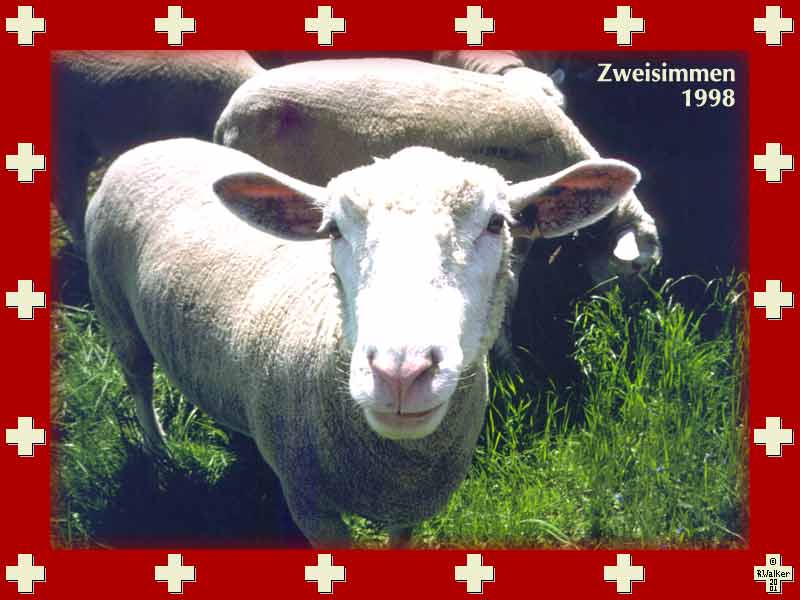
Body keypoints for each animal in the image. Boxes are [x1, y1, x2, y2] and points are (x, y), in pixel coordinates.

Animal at [86, 138, 639, 546]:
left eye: (497, 223)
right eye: (332, 229)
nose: (400, 372)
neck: (393, 466)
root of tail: (153, 143)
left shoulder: (412, 508)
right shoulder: (311, 505)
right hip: (113, 307)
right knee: (138, 380)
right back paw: (160, 452)